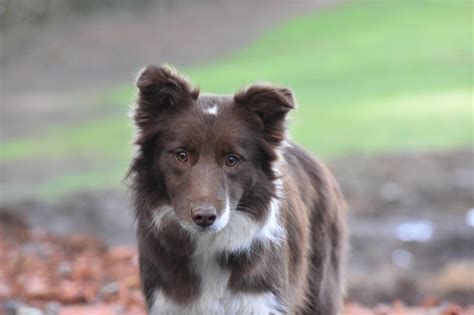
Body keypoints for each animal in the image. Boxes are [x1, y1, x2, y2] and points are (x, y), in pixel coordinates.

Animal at [128, 65, 346, 314]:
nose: (204, 218)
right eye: (182, 155)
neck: (208, 247)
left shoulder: (262, 300)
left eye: (232, 160)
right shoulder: (168, 301)